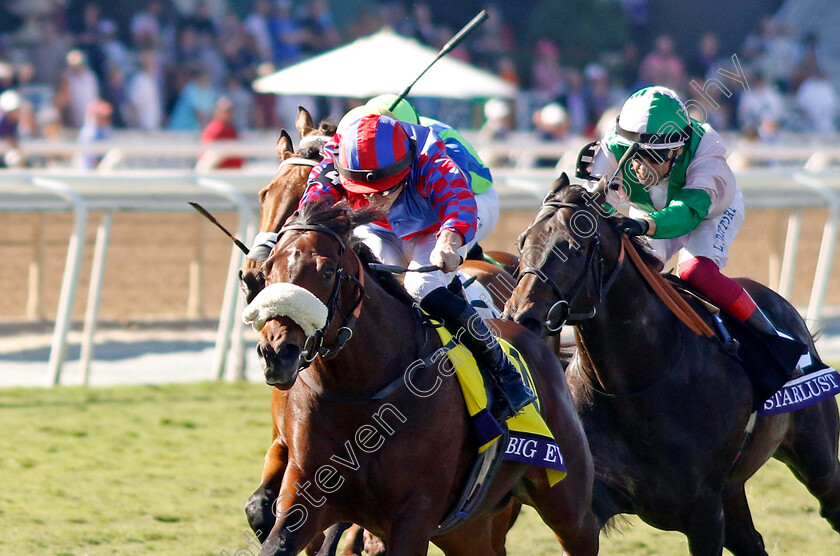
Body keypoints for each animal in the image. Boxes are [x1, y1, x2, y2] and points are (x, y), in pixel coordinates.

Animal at [241, 201, 596, 556]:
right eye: (269, 269)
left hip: (569, 507)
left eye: (326, 271)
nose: (277, 353)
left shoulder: (415, 514)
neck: (360, 393)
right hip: (465, 529)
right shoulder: (305, 491)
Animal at [506, 174, 840, 552]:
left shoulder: (704, 512)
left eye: (573, 247)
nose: (522, 317)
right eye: (522, 242)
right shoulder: (588, 509)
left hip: (818, 458)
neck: (636, 383)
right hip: (732, 491)